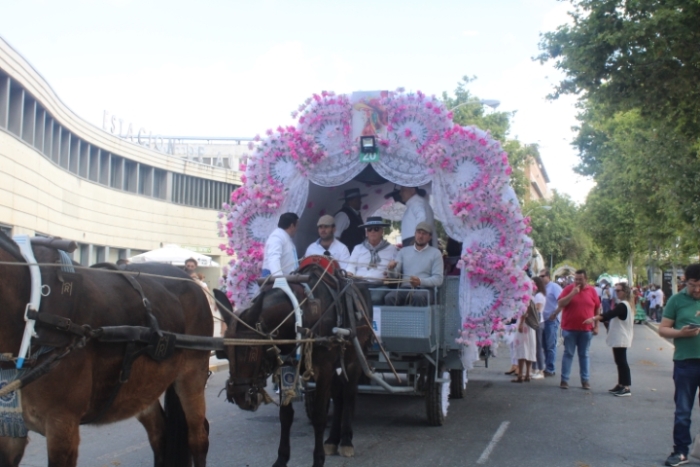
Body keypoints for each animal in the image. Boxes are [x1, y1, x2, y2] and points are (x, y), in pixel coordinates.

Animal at [0, 234, 213, 467]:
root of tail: (190, 280)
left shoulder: (62, 425)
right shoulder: (10, 431)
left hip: (191, 375)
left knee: (198, 438)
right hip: (143, 387)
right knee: (160, 433)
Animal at [220, 260, 374, 467]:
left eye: (251, 350)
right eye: (226, 352)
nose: (238, 396)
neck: (299, 315)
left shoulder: (324, 370)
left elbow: (319, 416)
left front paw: (318, 460)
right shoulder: (287, 367)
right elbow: (285, 416)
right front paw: (281, 458)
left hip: (355, 359)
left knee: (349, 394)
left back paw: (346, 441)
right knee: (339, 397)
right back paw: (332, 440)